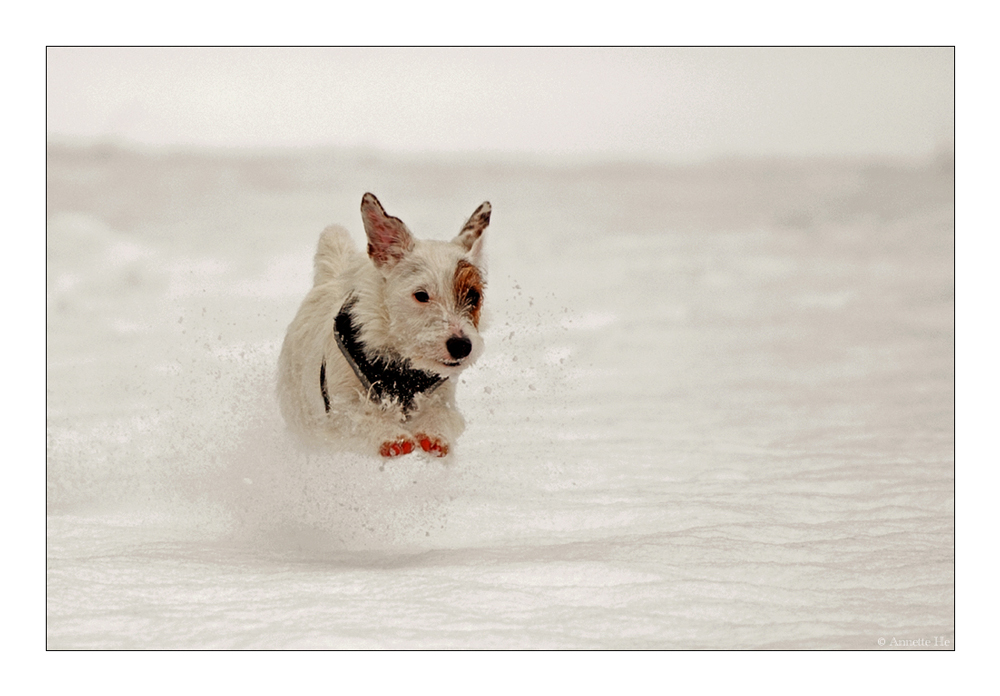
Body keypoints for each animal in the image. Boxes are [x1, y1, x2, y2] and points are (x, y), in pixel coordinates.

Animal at [276, 193, 490, 460]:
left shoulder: (441, 395)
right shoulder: (339, 409)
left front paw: (434, 433)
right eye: (421, 295)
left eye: (473, 296)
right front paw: (391, 437)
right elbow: (360, 417)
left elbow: (442, 414)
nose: (461, 345)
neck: (400, 364)